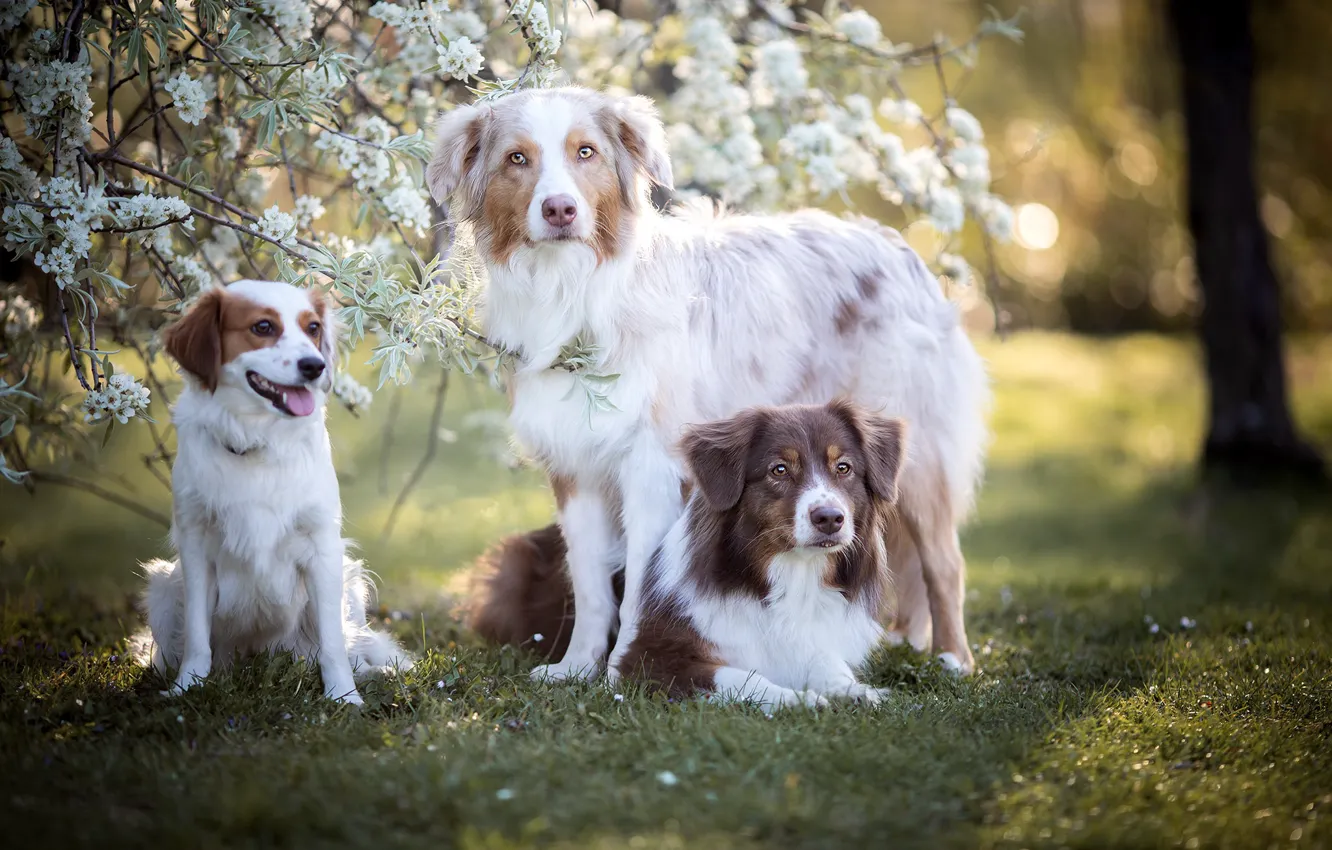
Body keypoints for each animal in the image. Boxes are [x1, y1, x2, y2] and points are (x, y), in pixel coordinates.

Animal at [141, 279, 407, 703]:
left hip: (348, 582)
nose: (314, 366)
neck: (258, 441)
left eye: (313, 328)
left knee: (341, 648)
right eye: (263, 327)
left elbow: (333, 644)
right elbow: (197, 635)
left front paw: (344, 697)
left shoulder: (322, 547)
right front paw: (187, 687)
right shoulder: (195, 545)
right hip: (164, 585)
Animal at [426, 87, 991, 687]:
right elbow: (590, 584)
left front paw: (626, 669)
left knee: (943, 562)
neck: (574, 290)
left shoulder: (652, 468)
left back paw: (954, 659)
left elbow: (639, 587)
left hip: (916, 453)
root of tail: (899, 248)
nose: (560, 209)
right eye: (517, 158)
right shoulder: (575, 469)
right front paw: (577, 668)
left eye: (585, 152)